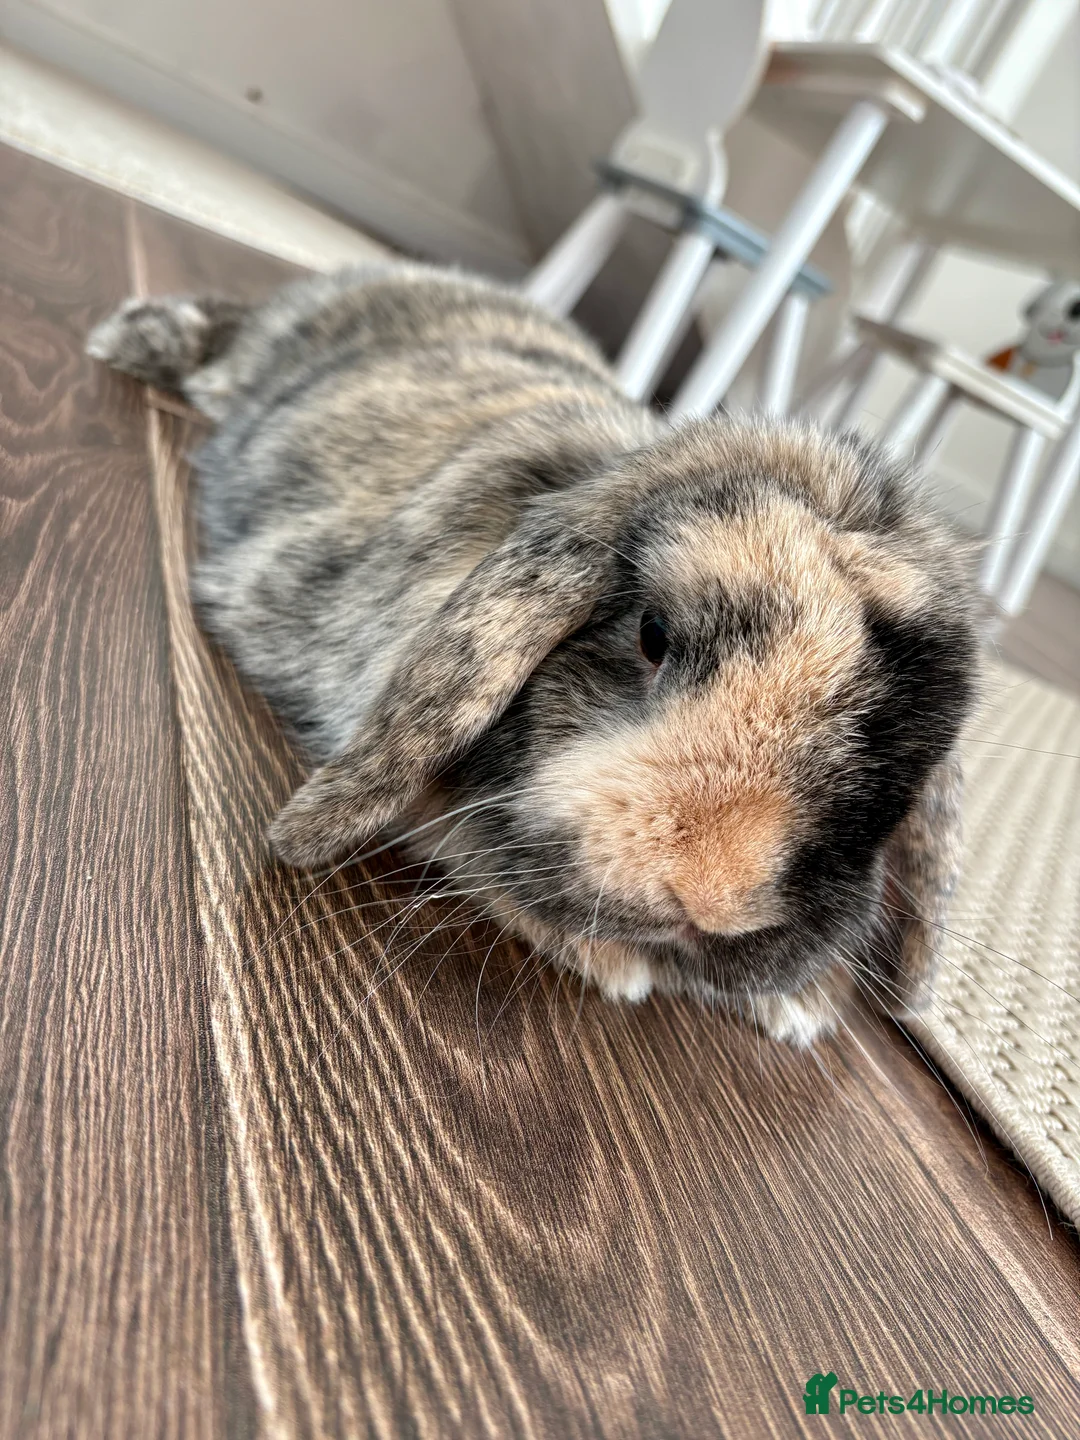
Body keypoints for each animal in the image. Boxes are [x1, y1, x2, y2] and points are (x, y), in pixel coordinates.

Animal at [87, 263, 981, 1045]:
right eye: (652, 636)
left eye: (902, 764)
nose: (712, 899)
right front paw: (621, 966)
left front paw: (799, 1007)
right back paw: (132, 337)